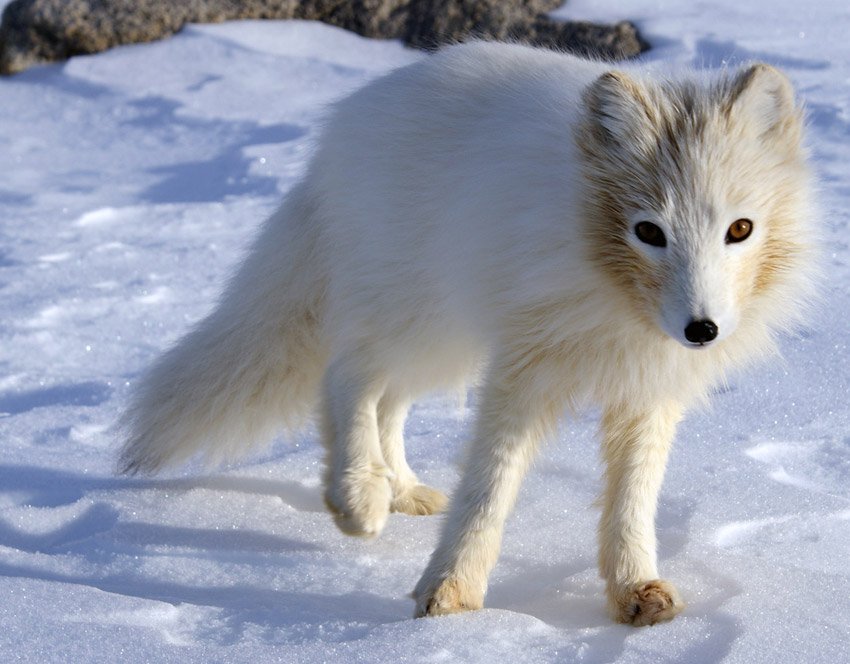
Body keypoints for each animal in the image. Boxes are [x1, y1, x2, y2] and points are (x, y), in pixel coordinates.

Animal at [118, 42, 817, 626]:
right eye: (649, 231)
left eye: (739, 230)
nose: (702, 329)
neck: (615, 301)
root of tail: (347, 121)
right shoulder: (523, 371)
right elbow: (489, 486)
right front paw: (450, 593)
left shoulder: (648, 389)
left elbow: (633, 500)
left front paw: (634, 589)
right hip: (421, 317)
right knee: (349, 375)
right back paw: (358, 496)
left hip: (447, 342)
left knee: (389, 401)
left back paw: (400, 489)